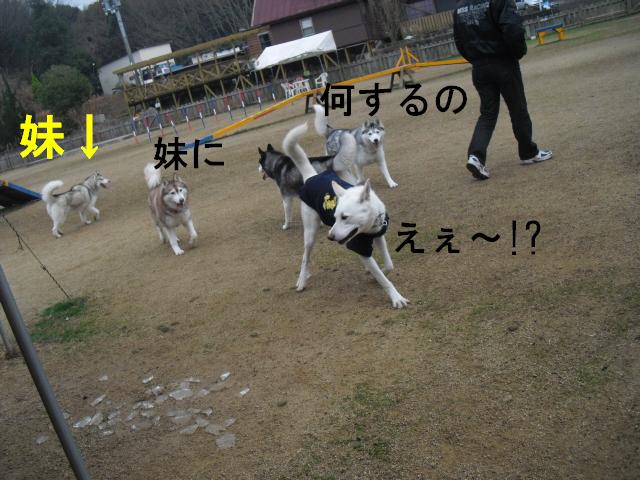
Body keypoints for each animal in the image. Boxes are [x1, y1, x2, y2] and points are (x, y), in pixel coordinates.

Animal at [283, 122, 409, 309]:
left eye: (344, 217)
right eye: (335, 216)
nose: (330, 237)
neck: (369, 226)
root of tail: (311, 176)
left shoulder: (379, 236)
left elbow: (388, 265)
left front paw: (373, 272)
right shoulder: (360, 247)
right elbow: (383, 279)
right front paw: (396, 297)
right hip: (310, 232)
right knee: (305, 257)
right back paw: (302, 281)